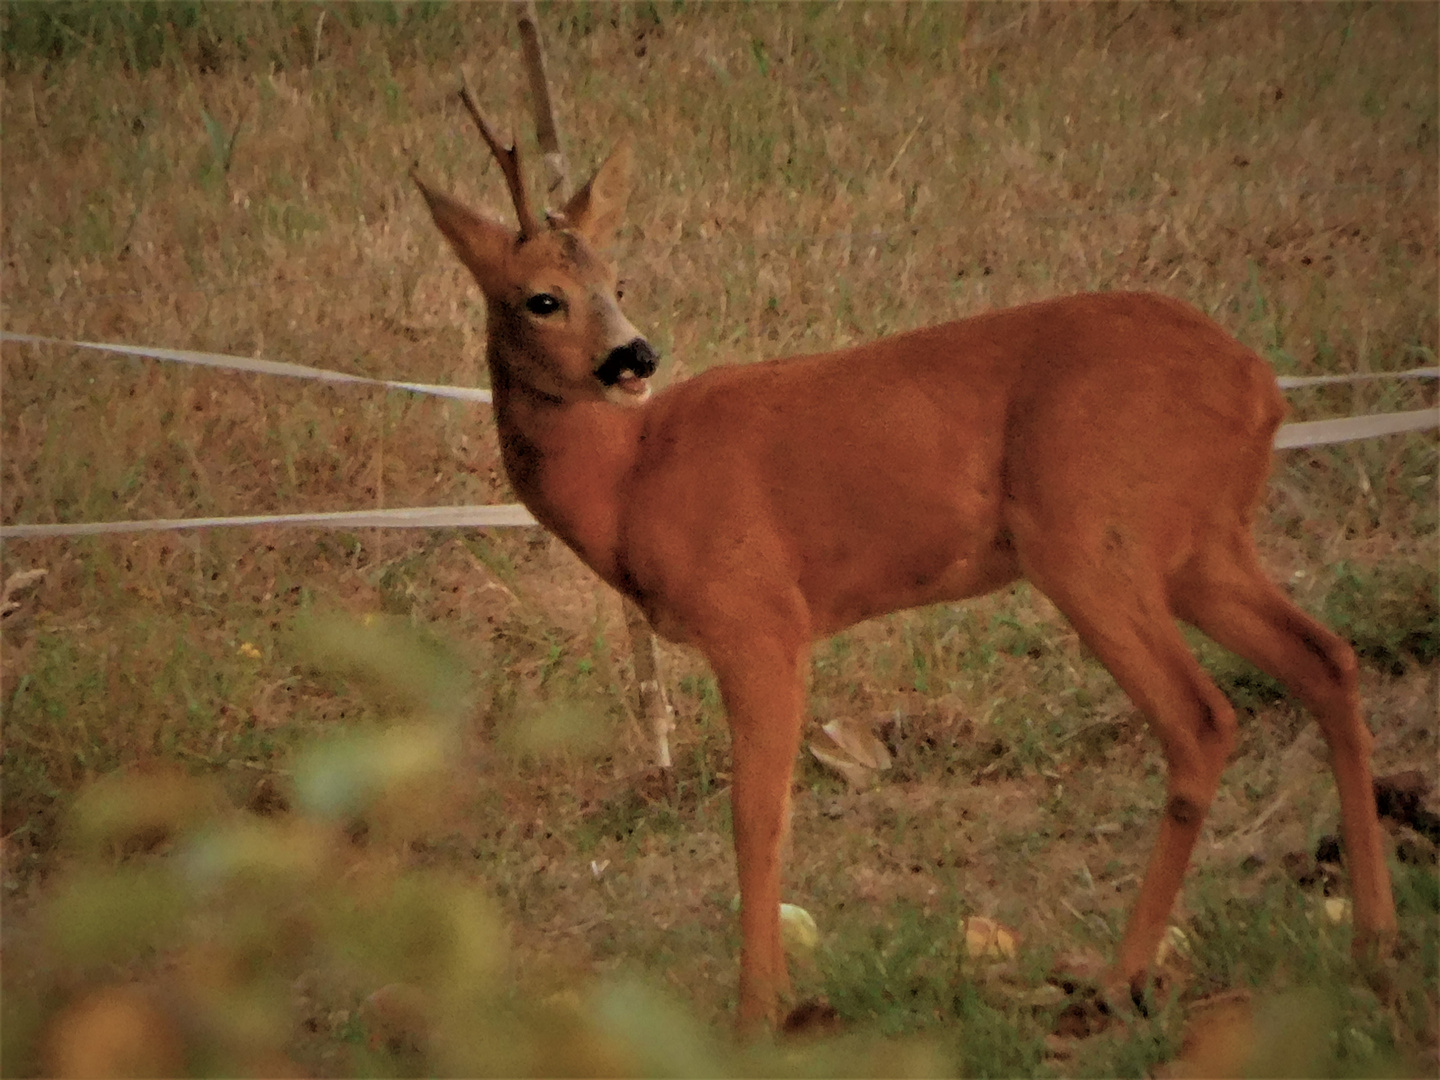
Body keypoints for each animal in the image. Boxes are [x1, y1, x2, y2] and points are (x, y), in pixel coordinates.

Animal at [414, 92, 1393, 1031]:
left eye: (617, 282)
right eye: (542, 297)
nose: (634, 355)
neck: (630, 480)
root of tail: (1259, 384)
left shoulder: (759, 617)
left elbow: (756, 818)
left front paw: (758, 1012)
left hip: (1090, 536)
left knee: (1202, 718)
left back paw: (1118, 982)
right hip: (1199, 545)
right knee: (1327, 657)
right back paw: (1371, 942)